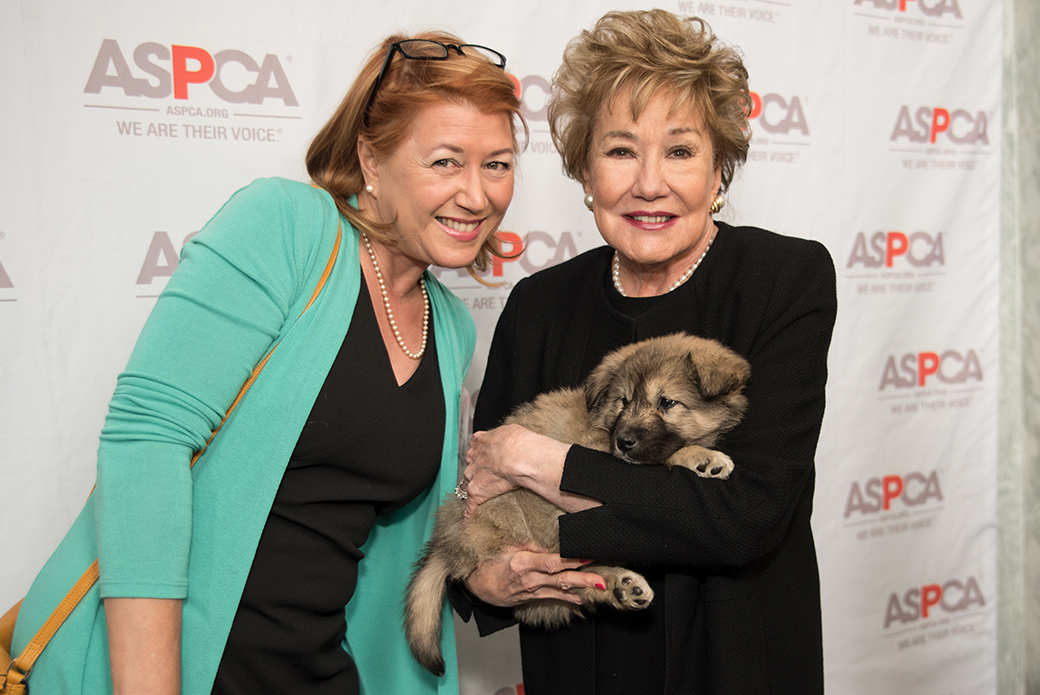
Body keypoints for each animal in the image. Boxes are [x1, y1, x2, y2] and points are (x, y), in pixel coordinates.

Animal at [401, 332, 752, 674]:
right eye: (623, 401)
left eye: (667, 402)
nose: (623, 442)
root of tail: (448, 540)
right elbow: (661, 459)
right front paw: (701, 457)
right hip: (511, 514)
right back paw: (619, 583)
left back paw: (621, 587)